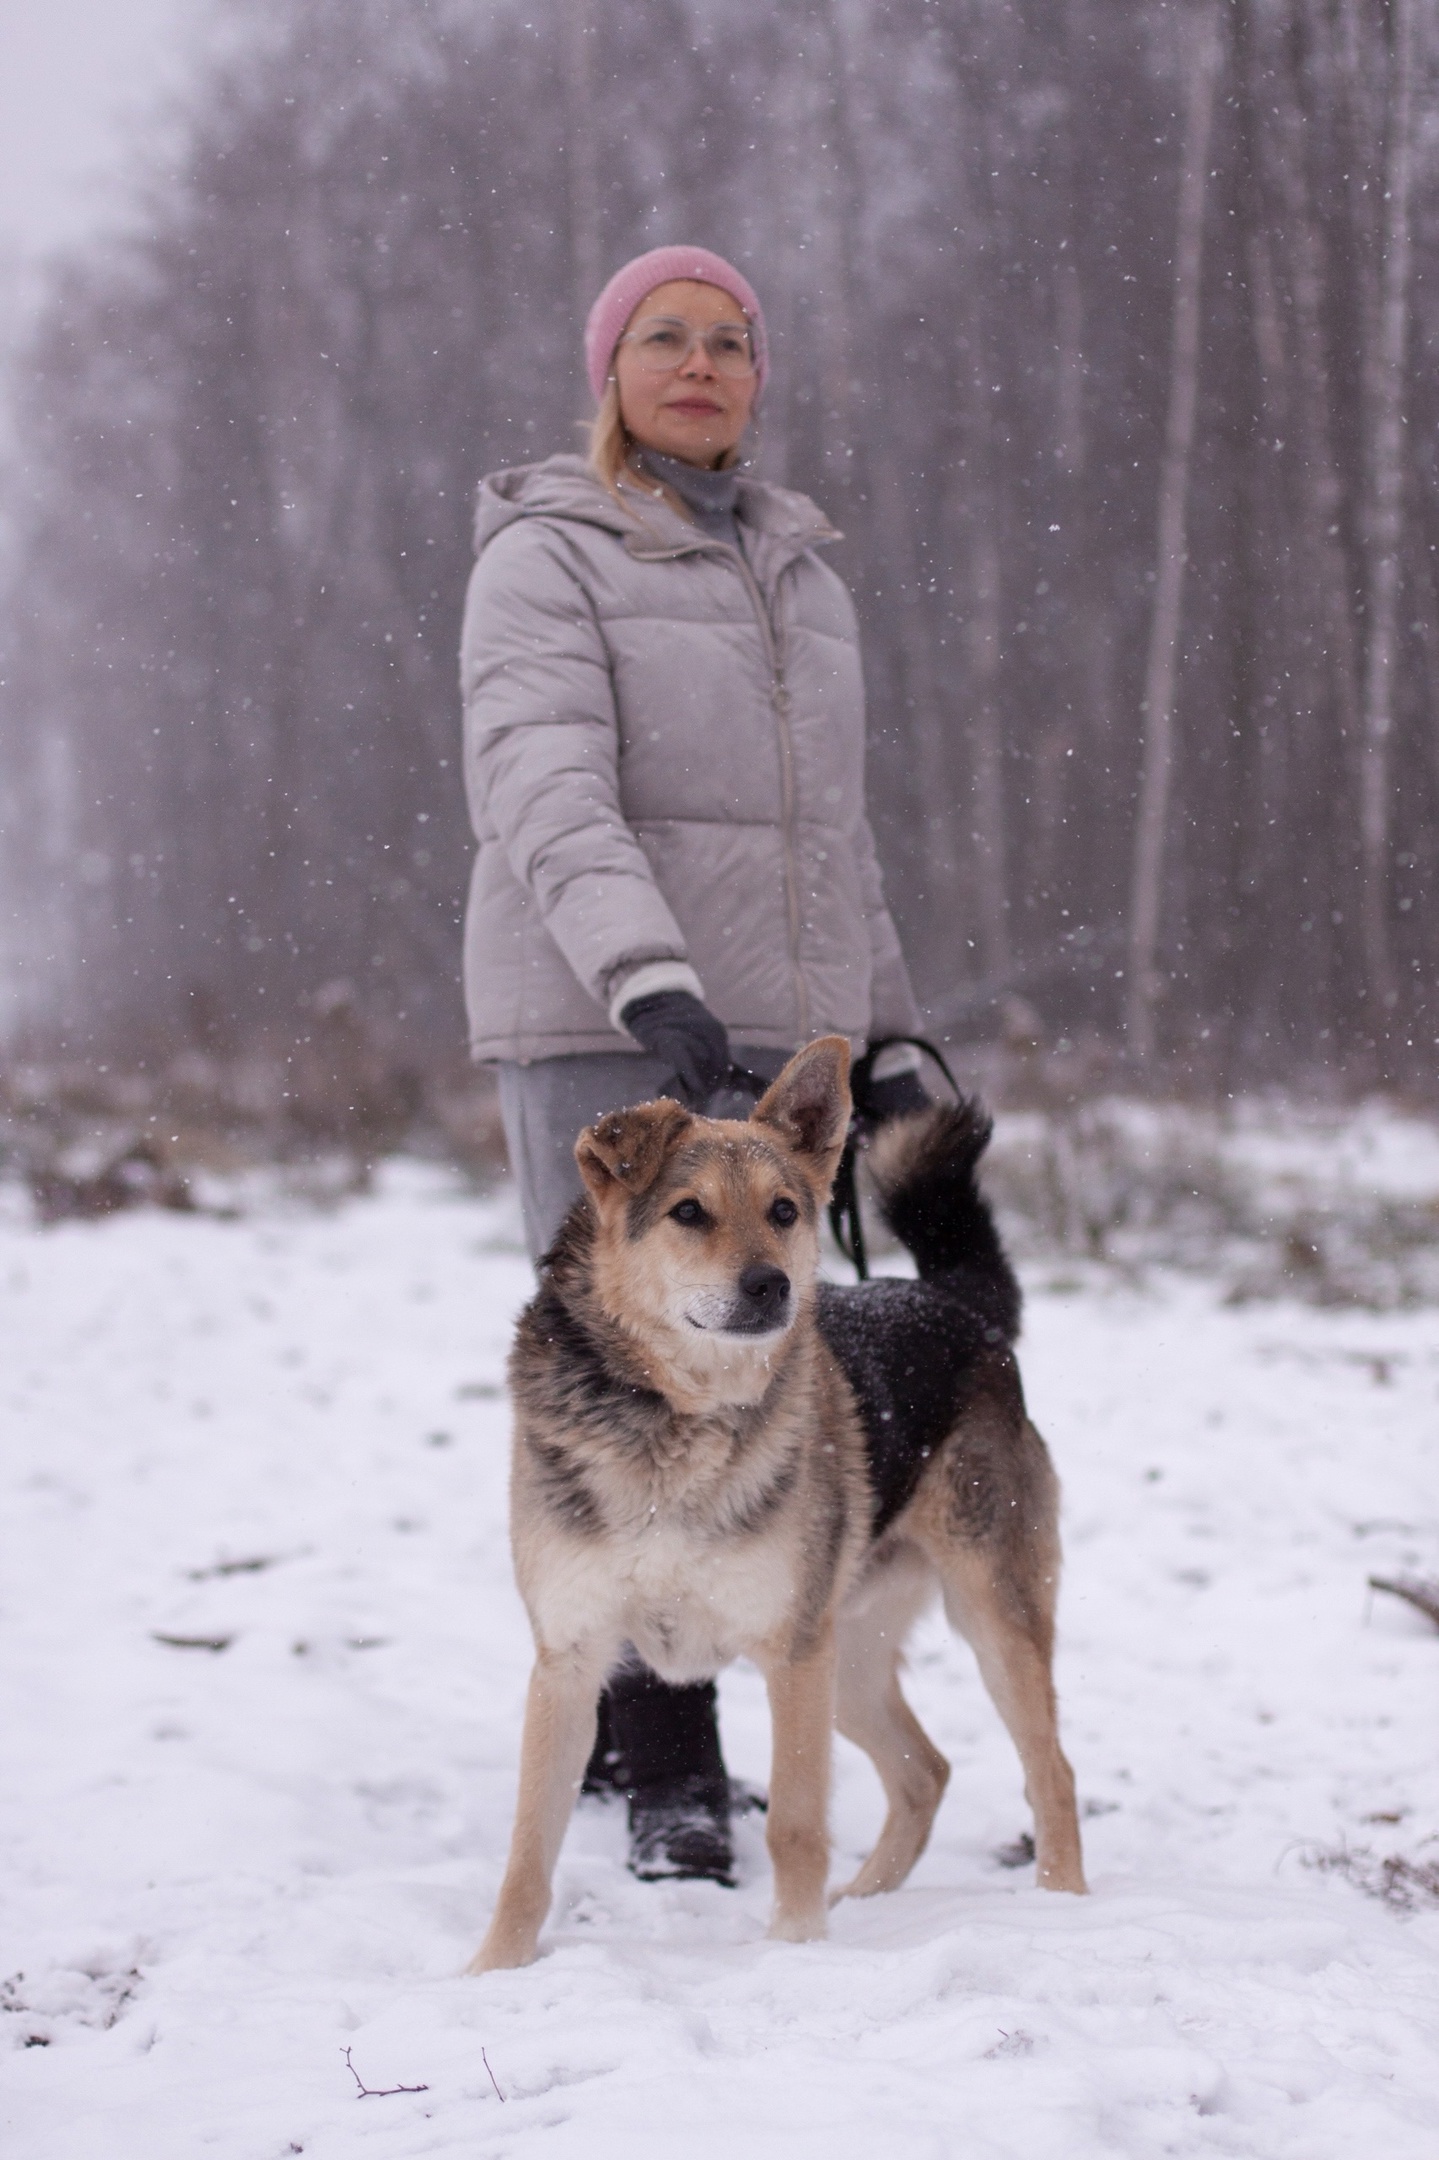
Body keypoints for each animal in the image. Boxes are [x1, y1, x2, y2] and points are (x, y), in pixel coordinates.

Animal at [470, 1036, 1085, 1972]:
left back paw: (1064, 1911)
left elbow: (795, 1824)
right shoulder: (570, 1660)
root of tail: (953, 1303)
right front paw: (490, 1973)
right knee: (925, 1771)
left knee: (1050, 1771)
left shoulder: (790, 1654)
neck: (674, 1418)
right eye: (688, 1212)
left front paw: (795, 1953)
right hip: (852, 1652)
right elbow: (527, 1850)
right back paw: (864, 1902)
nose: (769, 1286)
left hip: (985, 1619)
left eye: (786, 1211)